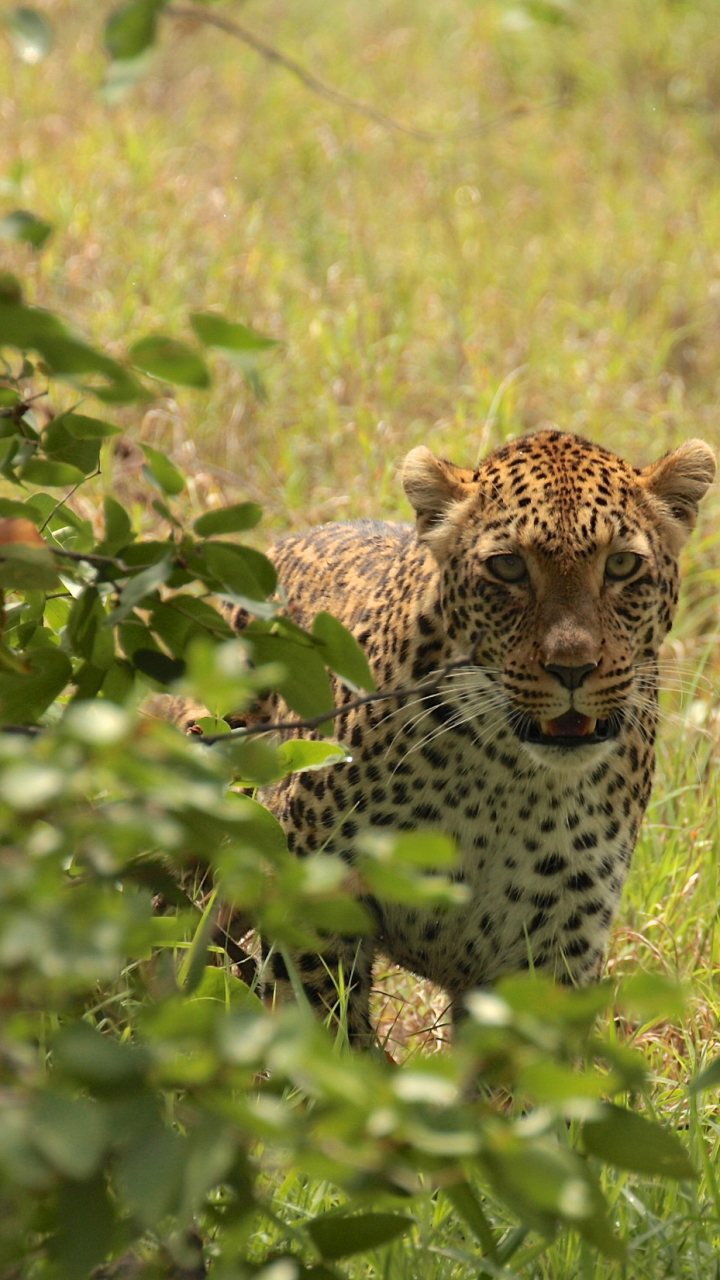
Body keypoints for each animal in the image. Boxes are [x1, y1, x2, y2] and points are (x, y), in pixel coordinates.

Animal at [210, 430, 712, 1039]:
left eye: (620, 565)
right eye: (509, 568)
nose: (572, 668)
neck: (509, 782)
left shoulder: (554, 949)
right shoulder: (317, 905)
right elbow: (323, 1034)